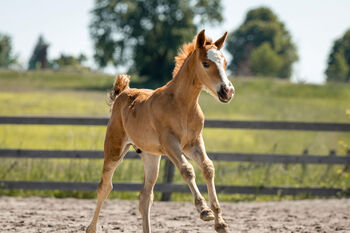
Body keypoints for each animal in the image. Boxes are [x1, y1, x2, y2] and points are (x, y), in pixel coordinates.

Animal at [86, 30, 235, 232]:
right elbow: (187, 169)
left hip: (151, 156)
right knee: (105, 187)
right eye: (206, 63)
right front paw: (204, 211)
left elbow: (208, 167)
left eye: (225, 63)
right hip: (114, 150)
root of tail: (122, 94)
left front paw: (220, 222)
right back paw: (91, 228)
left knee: (145, 197)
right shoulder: (170, 143)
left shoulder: (193, 142)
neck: (182, 105)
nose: (227, 91)